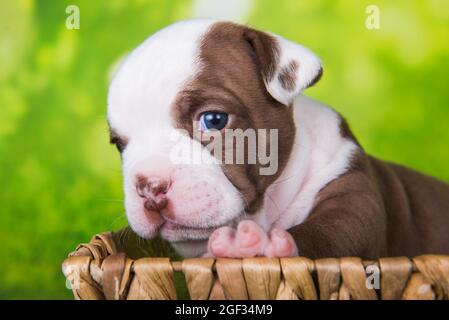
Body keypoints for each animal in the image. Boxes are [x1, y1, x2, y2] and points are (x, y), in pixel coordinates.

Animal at [106, 19, 448, 260]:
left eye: (214, 120)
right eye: (119, 145)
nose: (149, 185)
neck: (263, 210)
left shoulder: (351, 192)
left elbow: (330, 232)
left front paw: (265, 245)